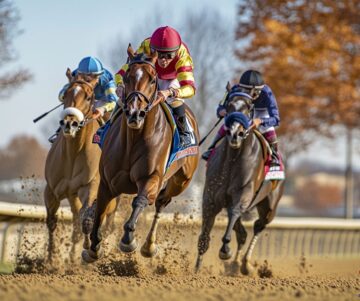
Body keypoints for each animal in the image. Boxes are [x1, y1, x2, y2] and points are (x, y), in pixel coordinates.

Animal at [44, 69, 118, 262]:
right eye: (66, 94)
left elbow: (86, 219)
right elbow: (52, 221)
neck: (73, 152)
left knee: (106, 222)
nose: (70, 123)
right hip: (72, 196)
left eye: (88, 97)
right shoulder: (51, 190)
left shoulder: (90, 186)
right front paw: (51, 260)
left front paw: (91, 249)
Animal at [81, 45, 200, 262]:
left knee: (160, 204)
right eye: (128, 76)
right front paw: (93, 247)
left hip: (180, 182)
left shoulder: (151, 179)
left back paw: (148, 246)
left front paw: (128, 240)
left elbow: (140, 202)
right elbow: (100, 212)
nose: (135, 113)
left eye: (153, 79)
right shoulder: (108, 183)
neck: (134, 139)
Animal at [194, 91, 284, 274]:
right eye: (229, 105)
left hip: (269, 207)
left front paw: (225, 250)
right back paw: (235, 264)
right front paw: (197, 268)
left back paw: (244, 264)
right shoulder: (211, 198)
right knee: (242, 233)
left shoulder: (242, 195)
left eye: (249, 107)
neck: (233, 160)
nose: (235, 133)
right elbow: (205, 233)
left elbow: (235, 213)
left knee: (258, 226)